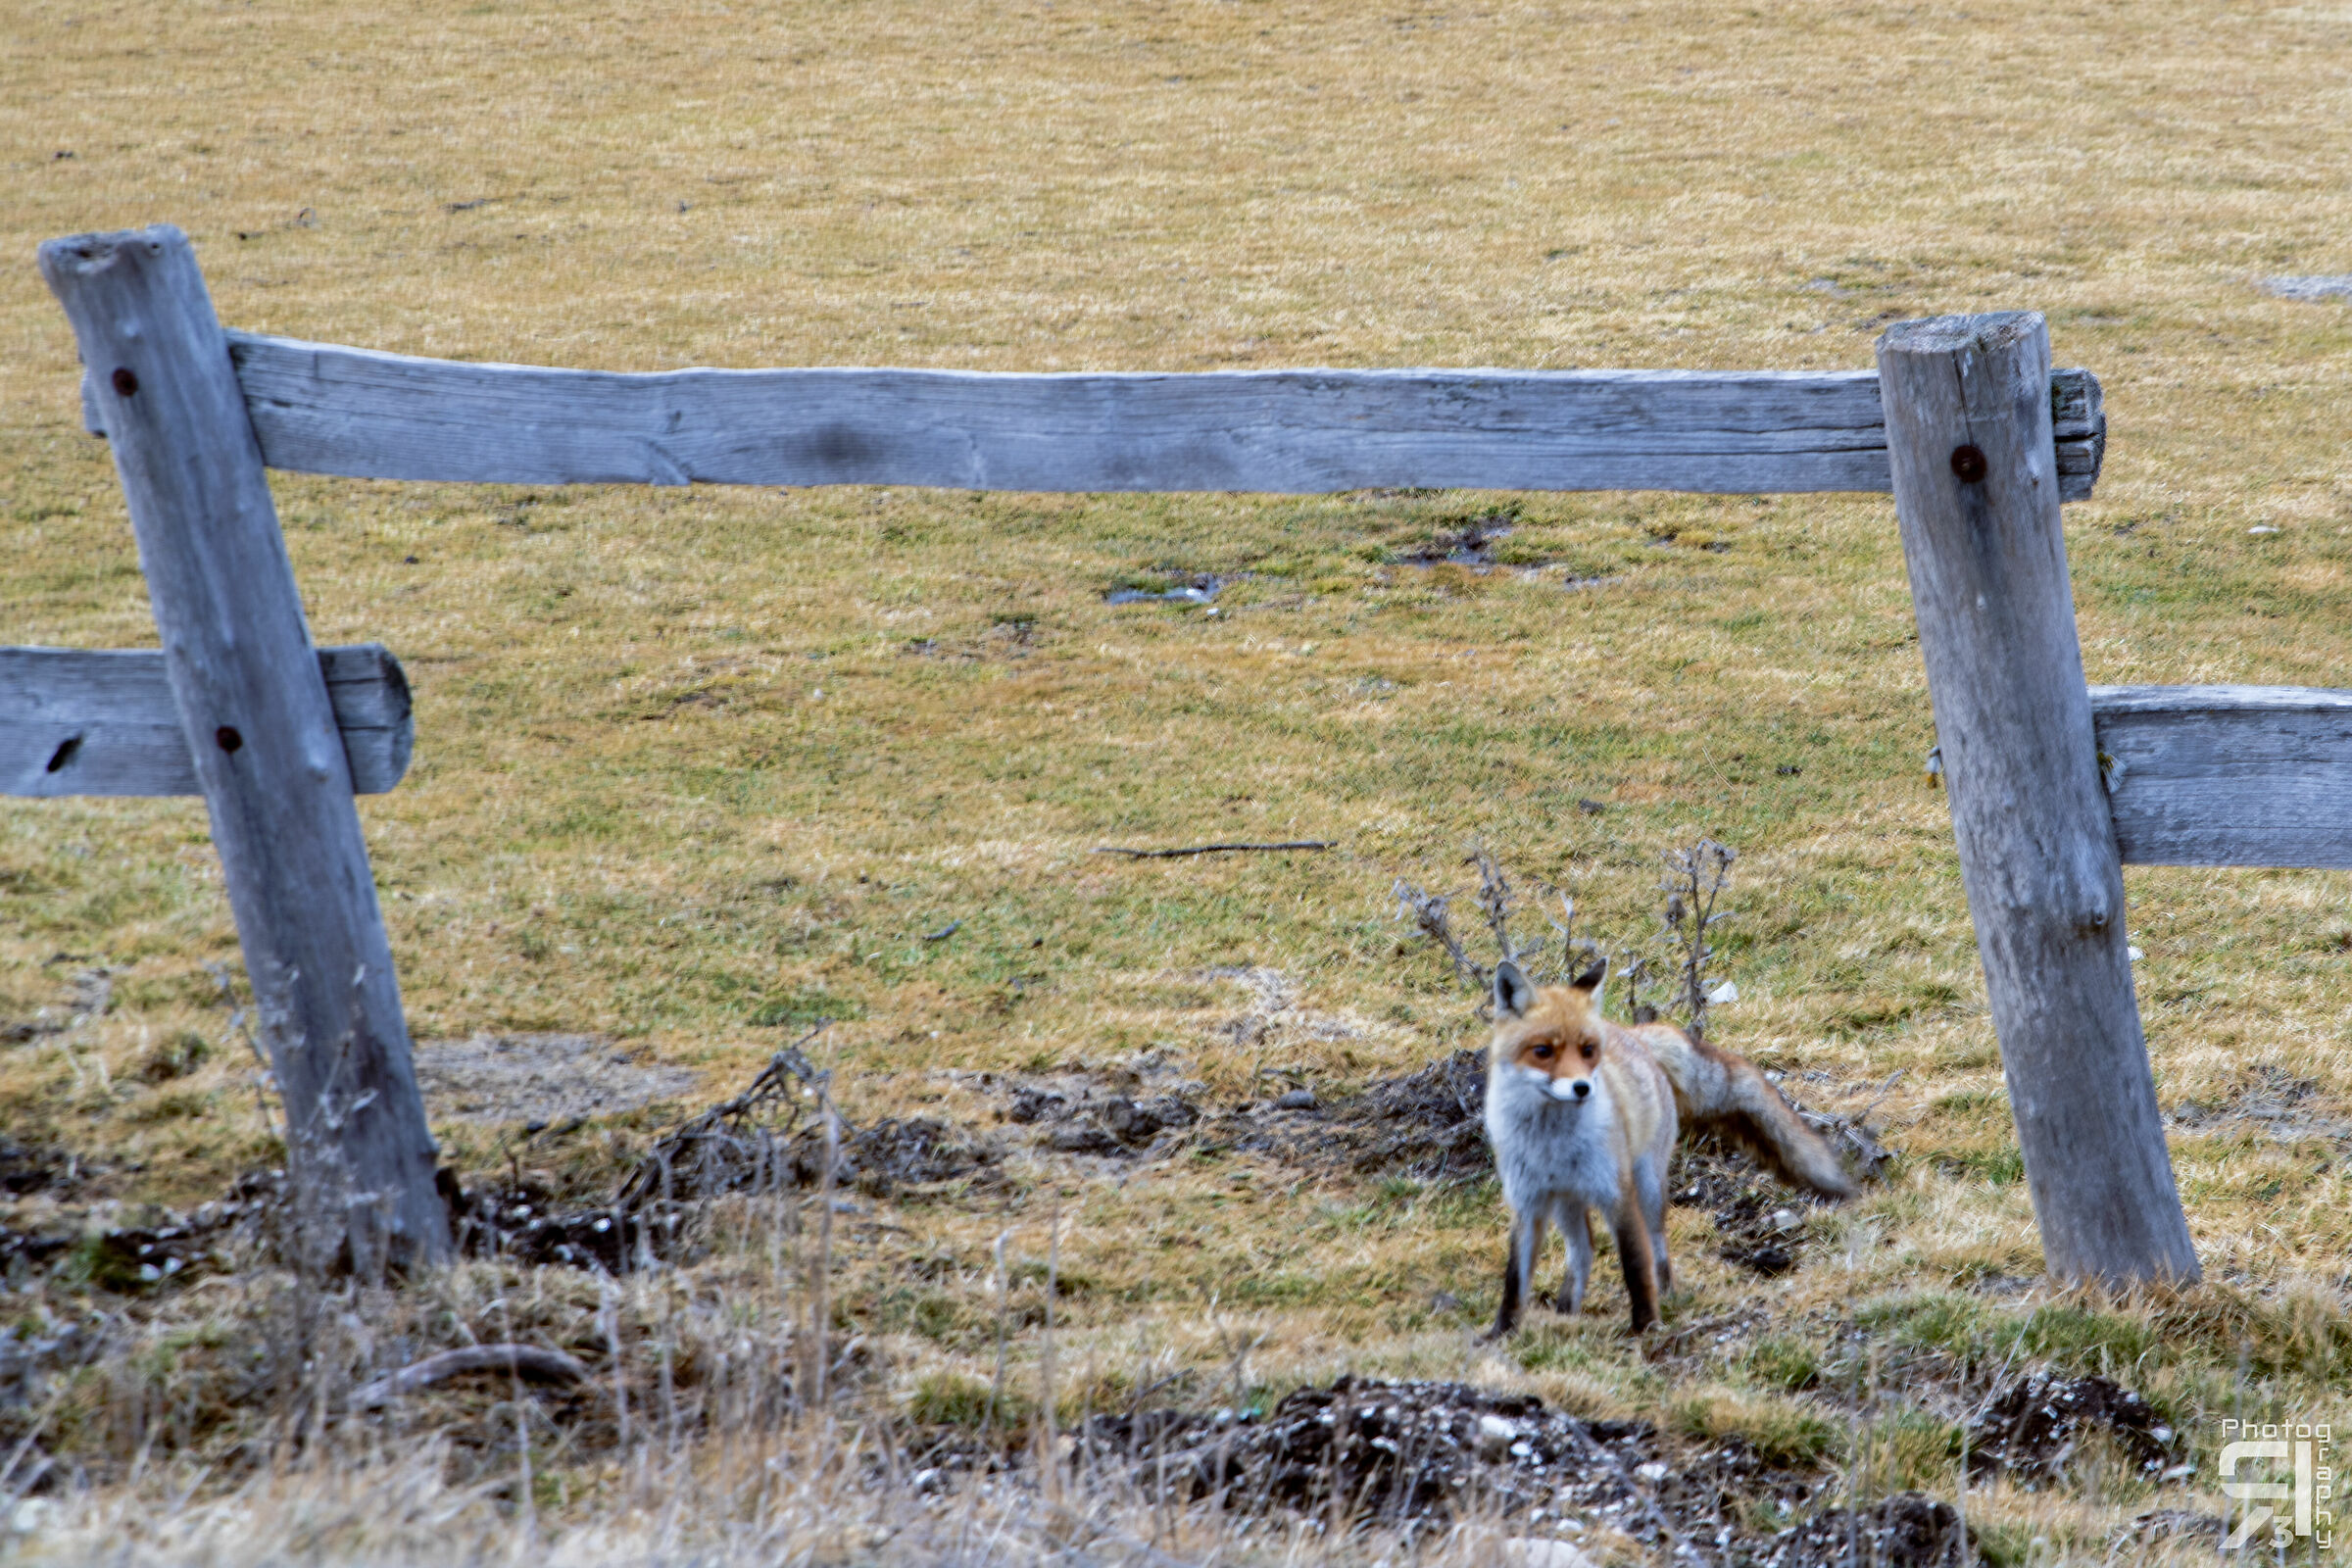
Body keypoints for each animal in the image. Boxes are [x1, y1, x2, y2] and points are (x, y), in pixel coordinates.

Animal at [1483, 958, 1855, 1337]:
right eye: (1543, 1051)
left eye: (1587, 1050)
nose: (1583, 1088)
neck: (1551, 1142)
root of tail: (1631, 1033)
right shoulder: (1527, 1202)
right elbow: (1514, 1281)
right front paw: (1502, 1333)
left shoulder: (1617, 1193)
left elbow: (1636, 1266)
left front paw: (1646, 1326)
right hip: (1565, 1200)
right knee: (1584, 1248)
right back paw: (1566, 1313)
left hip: (1646, 1186)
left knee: (1654, 1246)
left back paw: (1665, 1296)